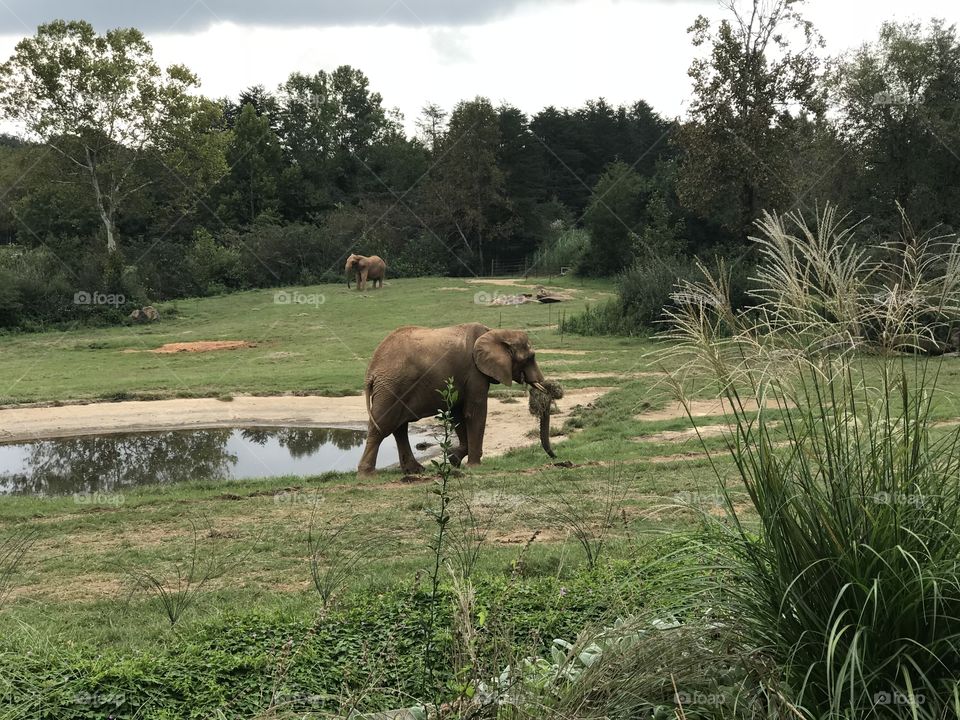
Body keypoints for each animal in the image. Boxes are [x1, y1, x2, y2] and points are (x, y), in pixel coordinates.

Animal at [358, 323, 555, 476]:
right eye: (531, 357)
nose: (555, 458)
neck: (495, 332)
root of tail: (371, 370)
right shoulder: (475, 372)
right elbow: (474, 413)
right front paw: (473, 466)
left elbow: (458, 415)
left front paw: (454, 459)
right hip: (391, 387)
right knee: (381, 427)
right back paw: (367, 475)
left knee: (399, 428)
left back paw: (416, 471)